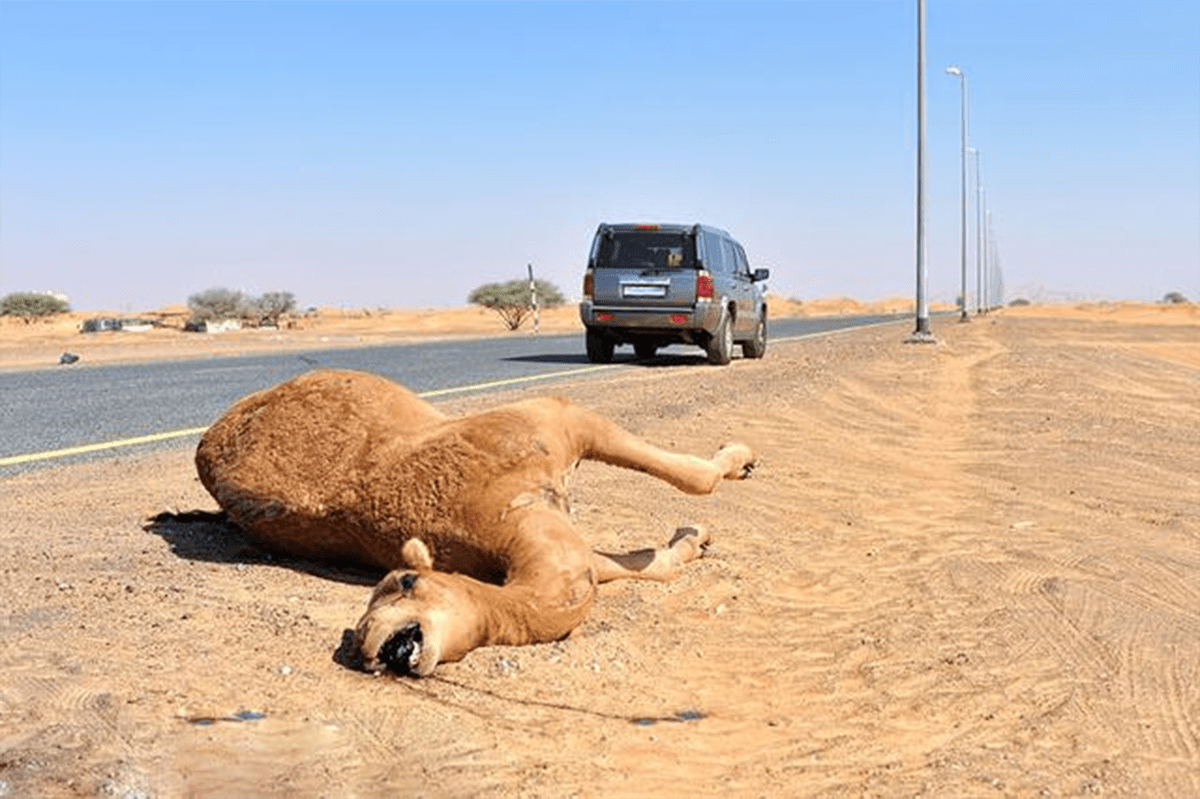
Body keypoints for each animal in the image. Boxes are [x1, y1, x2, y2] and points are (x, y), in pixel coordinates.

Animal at [196, 367, 758, 671]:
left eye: (404, 581)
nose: (374, 645)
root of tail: (206, 439)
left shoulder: (556, 422)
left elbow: (692, 485)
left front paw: (735, 469)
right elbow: (640, 560)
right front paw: (698, 532)